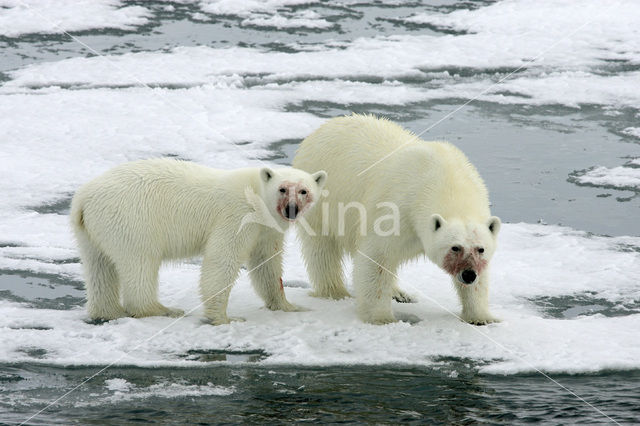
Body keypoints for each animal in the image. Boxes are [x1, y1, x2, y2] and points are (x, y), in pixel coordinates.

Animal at [71, 158, 324, 324]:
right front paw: (224, 318)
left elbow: (267, 265)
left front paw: (289, 306)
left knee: (99, 267)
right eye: (282, 189)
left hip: (91, 231)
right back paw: (162, 309)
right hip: (131, 220)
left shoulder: (266, 230)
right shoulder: (237, 215)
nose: (292, 210)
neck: (257, 196)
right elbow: (223, 258)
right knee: (140, 263)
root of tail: (84, 198)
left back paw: (108, 311)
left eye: (304, 191)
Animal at [294, 115, 500, 324]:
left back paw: (399, 293)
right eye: (455, 247)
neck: (447, 182)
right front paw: (381, 317)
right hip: (320, 198)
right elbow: (377, 256)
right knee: (322, 249)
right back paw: (335, 291)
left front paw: (481, 317)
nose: (468, 274)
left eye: (481, 249)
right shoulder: (397, 208)